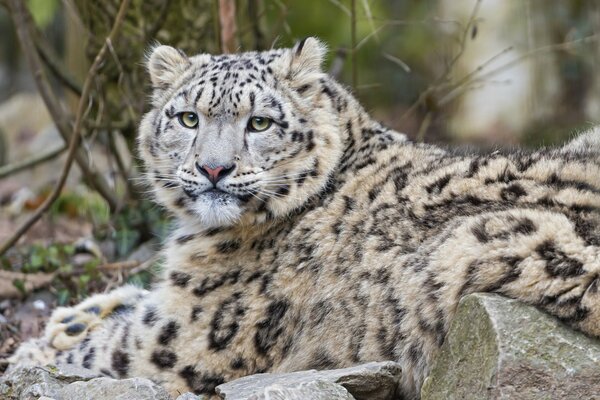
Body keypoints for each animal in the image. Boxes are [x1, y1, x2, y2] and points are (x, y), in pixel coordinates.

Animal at [9, 38, 600, 400]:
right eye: (188, 117)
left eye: (260, 122)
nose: (214, 168)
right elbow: (129, 301)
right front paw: (68, 319)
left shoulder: (186, 338)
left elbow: (111, 344)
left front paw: (31, 353)